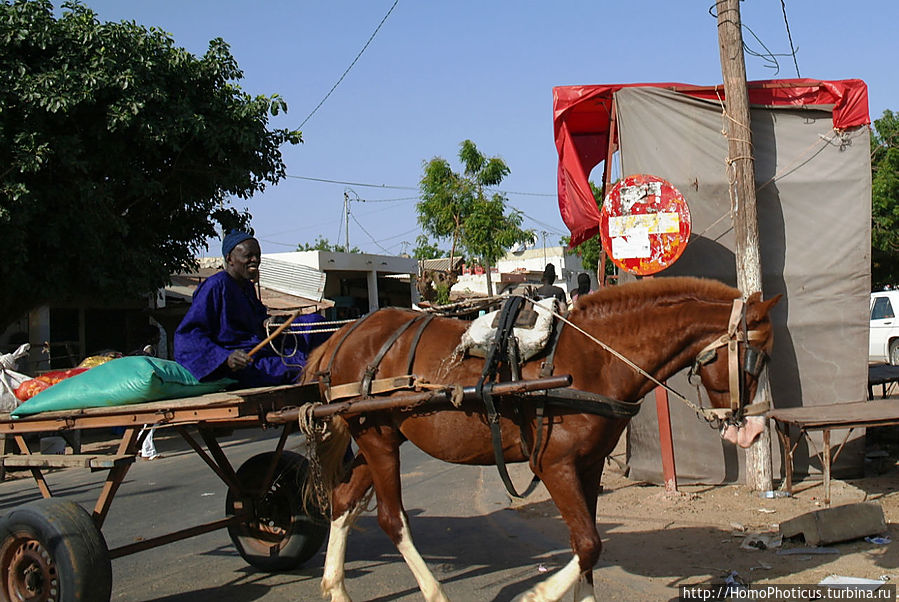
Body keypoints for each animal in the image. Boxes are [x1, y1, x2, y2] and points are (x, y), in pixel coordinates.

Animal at [302, 274, 780, 596]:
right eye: (756, 358)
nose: (756, 429)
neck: (595, 356)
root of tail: (343, 335)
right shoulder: (554, 465)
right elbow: (588, 545)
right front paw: (539, 593)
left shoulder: (589, 467)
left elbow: (586, 550)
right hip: (378, 439)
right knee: (391, 519)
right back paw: (432, 591)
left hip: (379, 438)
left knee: (343, 502)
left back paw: (335, 587)